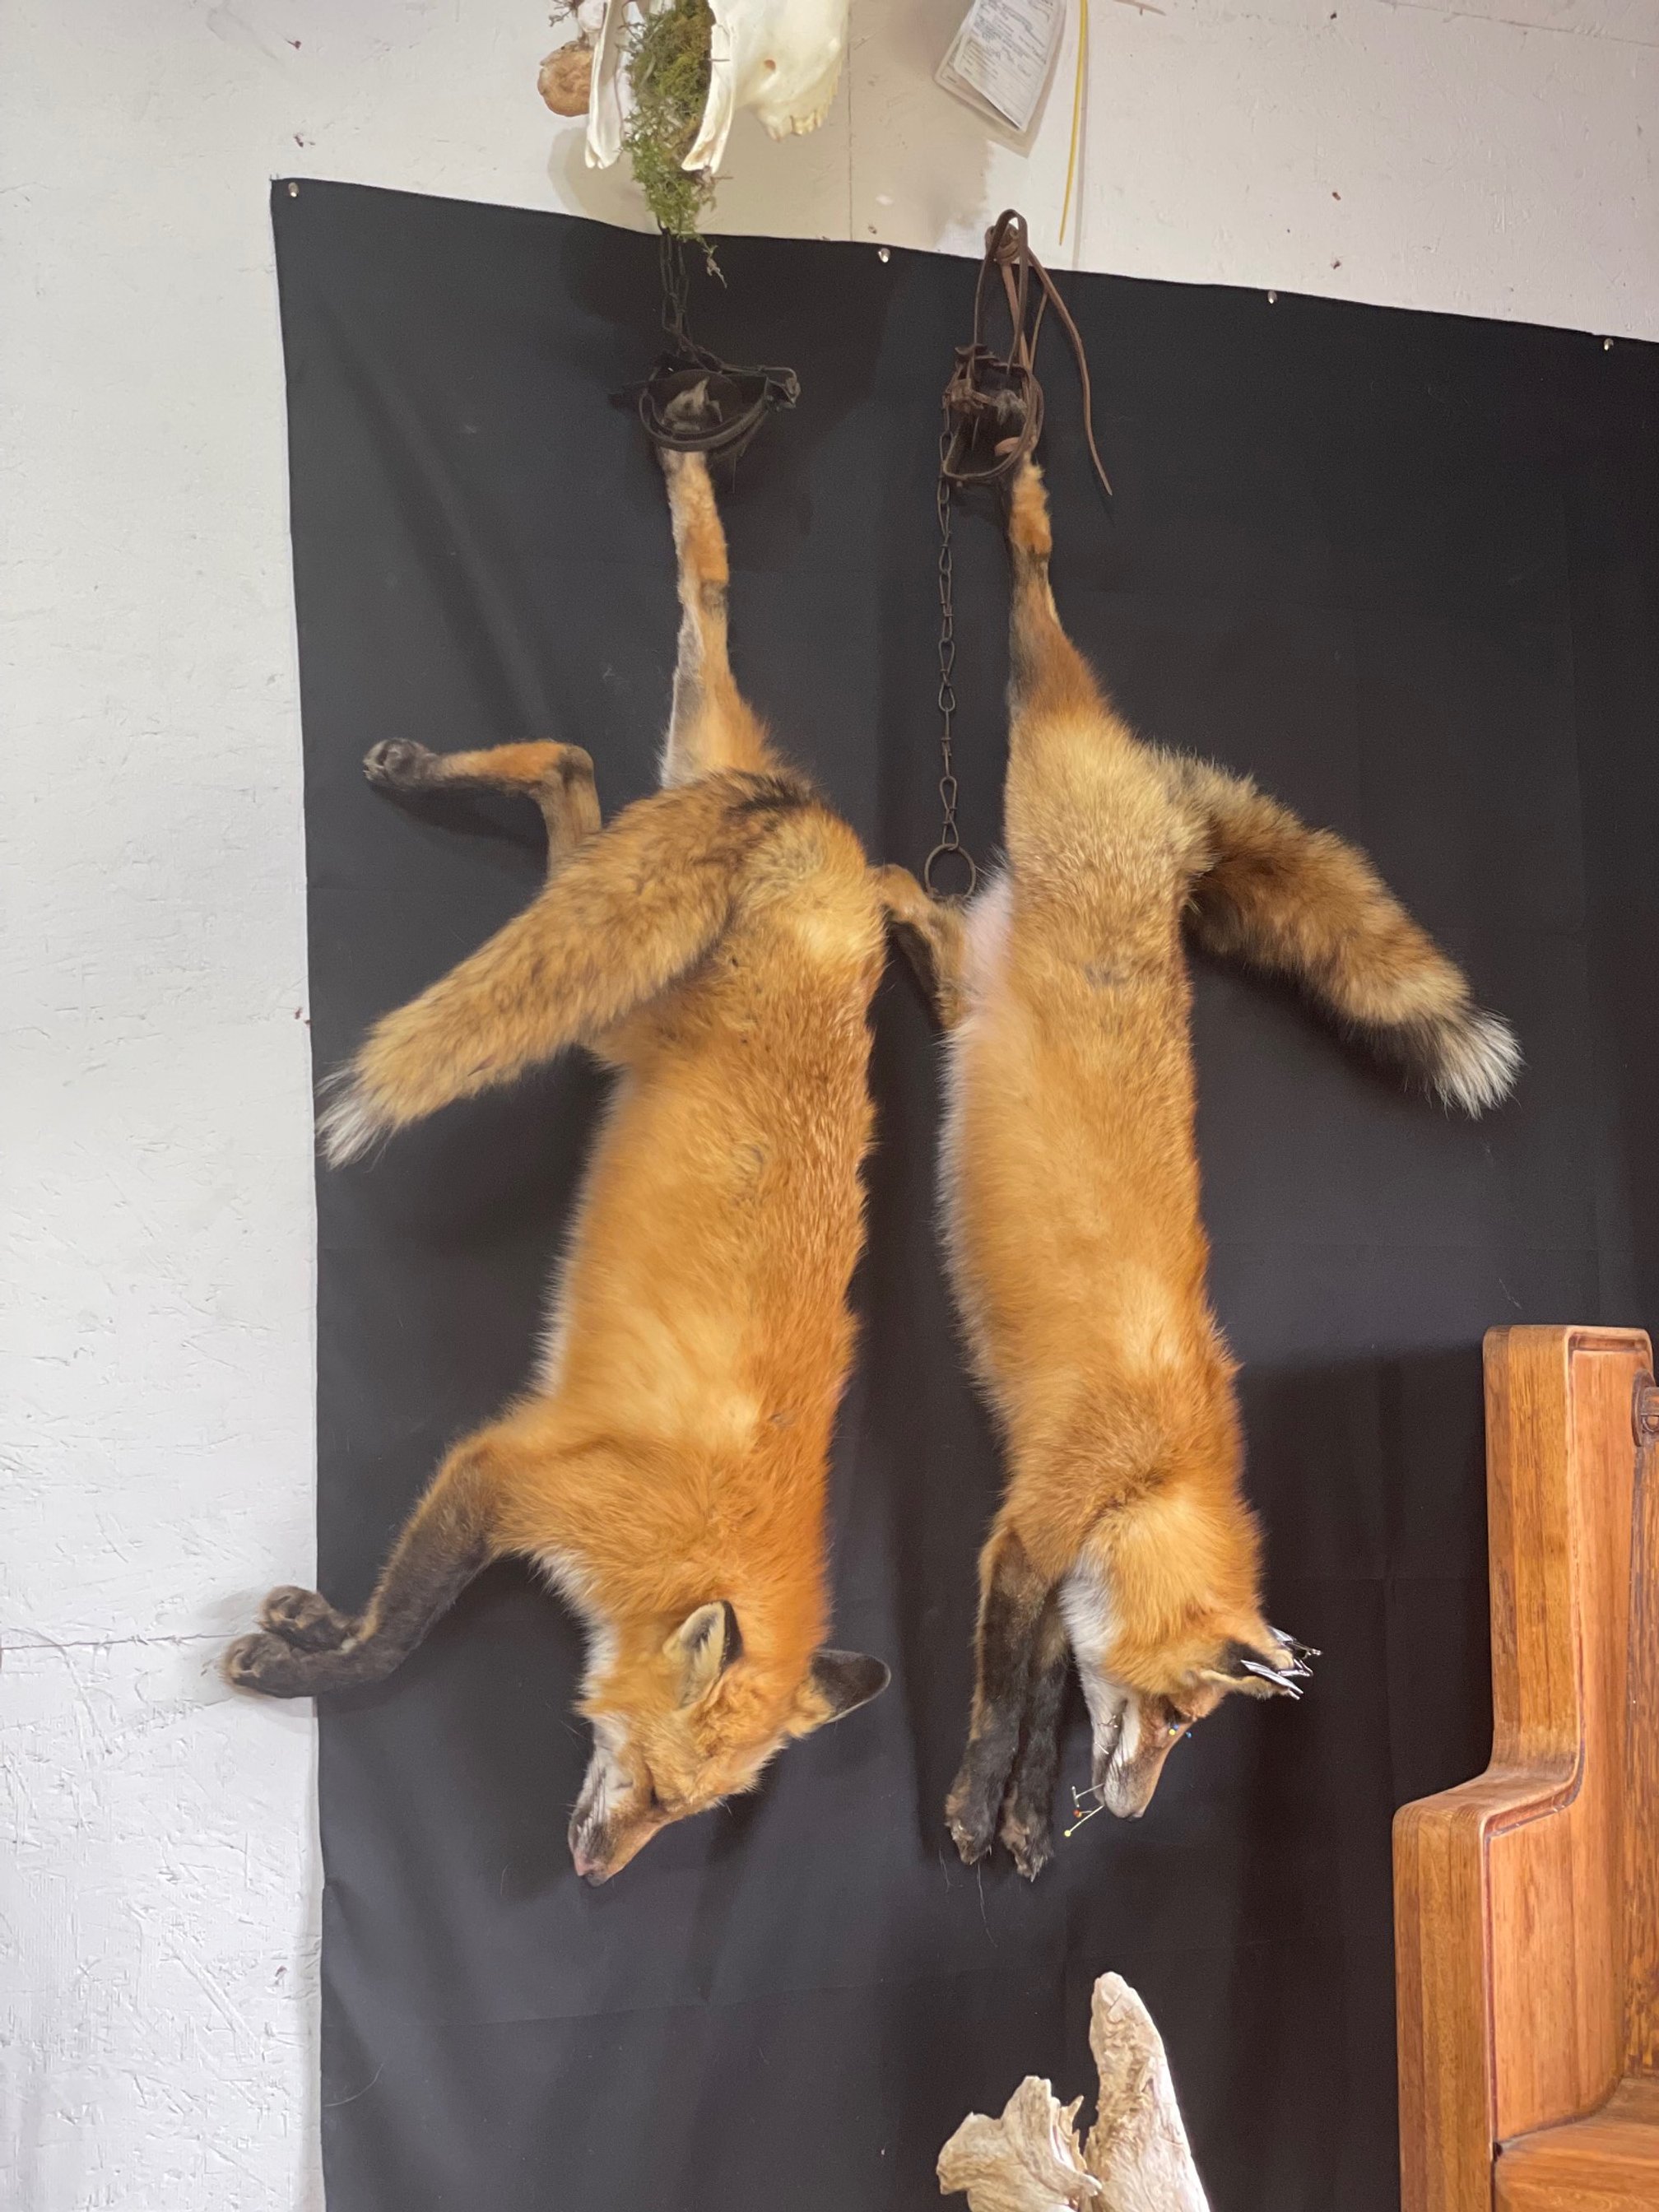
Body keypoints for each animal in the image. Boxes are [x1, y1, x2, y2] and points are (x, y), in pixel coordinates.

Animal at [224, 418, 896, 1883]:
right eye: (653, 1783)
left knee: (639, 690)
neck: (693, 1540)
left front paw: (309, 1629)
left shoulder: (508, 1481)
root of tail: (810, 826)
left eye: (692, 1813)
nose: (596, 1879)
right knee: (584, 762)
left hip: (674, 802)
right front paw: (316, 1666)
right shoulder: (506, 1472)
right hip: (610, 1009)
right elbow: (398, 1638)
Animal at [882, 453, 1519, 1880]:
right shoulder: (1025, 1532)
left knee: (939, 940)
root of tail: (1160, 834)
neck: (1152, 1464)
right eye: (1176, 1715)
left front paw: (1023, 1821)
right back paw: (1018, 487)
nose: (1127, 1813)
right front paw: (972, 1806)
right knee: (1041, 630)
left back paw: (895, 902)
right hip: (1038, 740)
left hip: (978, 979)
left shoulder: (1057, 1569)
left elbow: (1046, 1700)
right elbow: (1001, 1700)